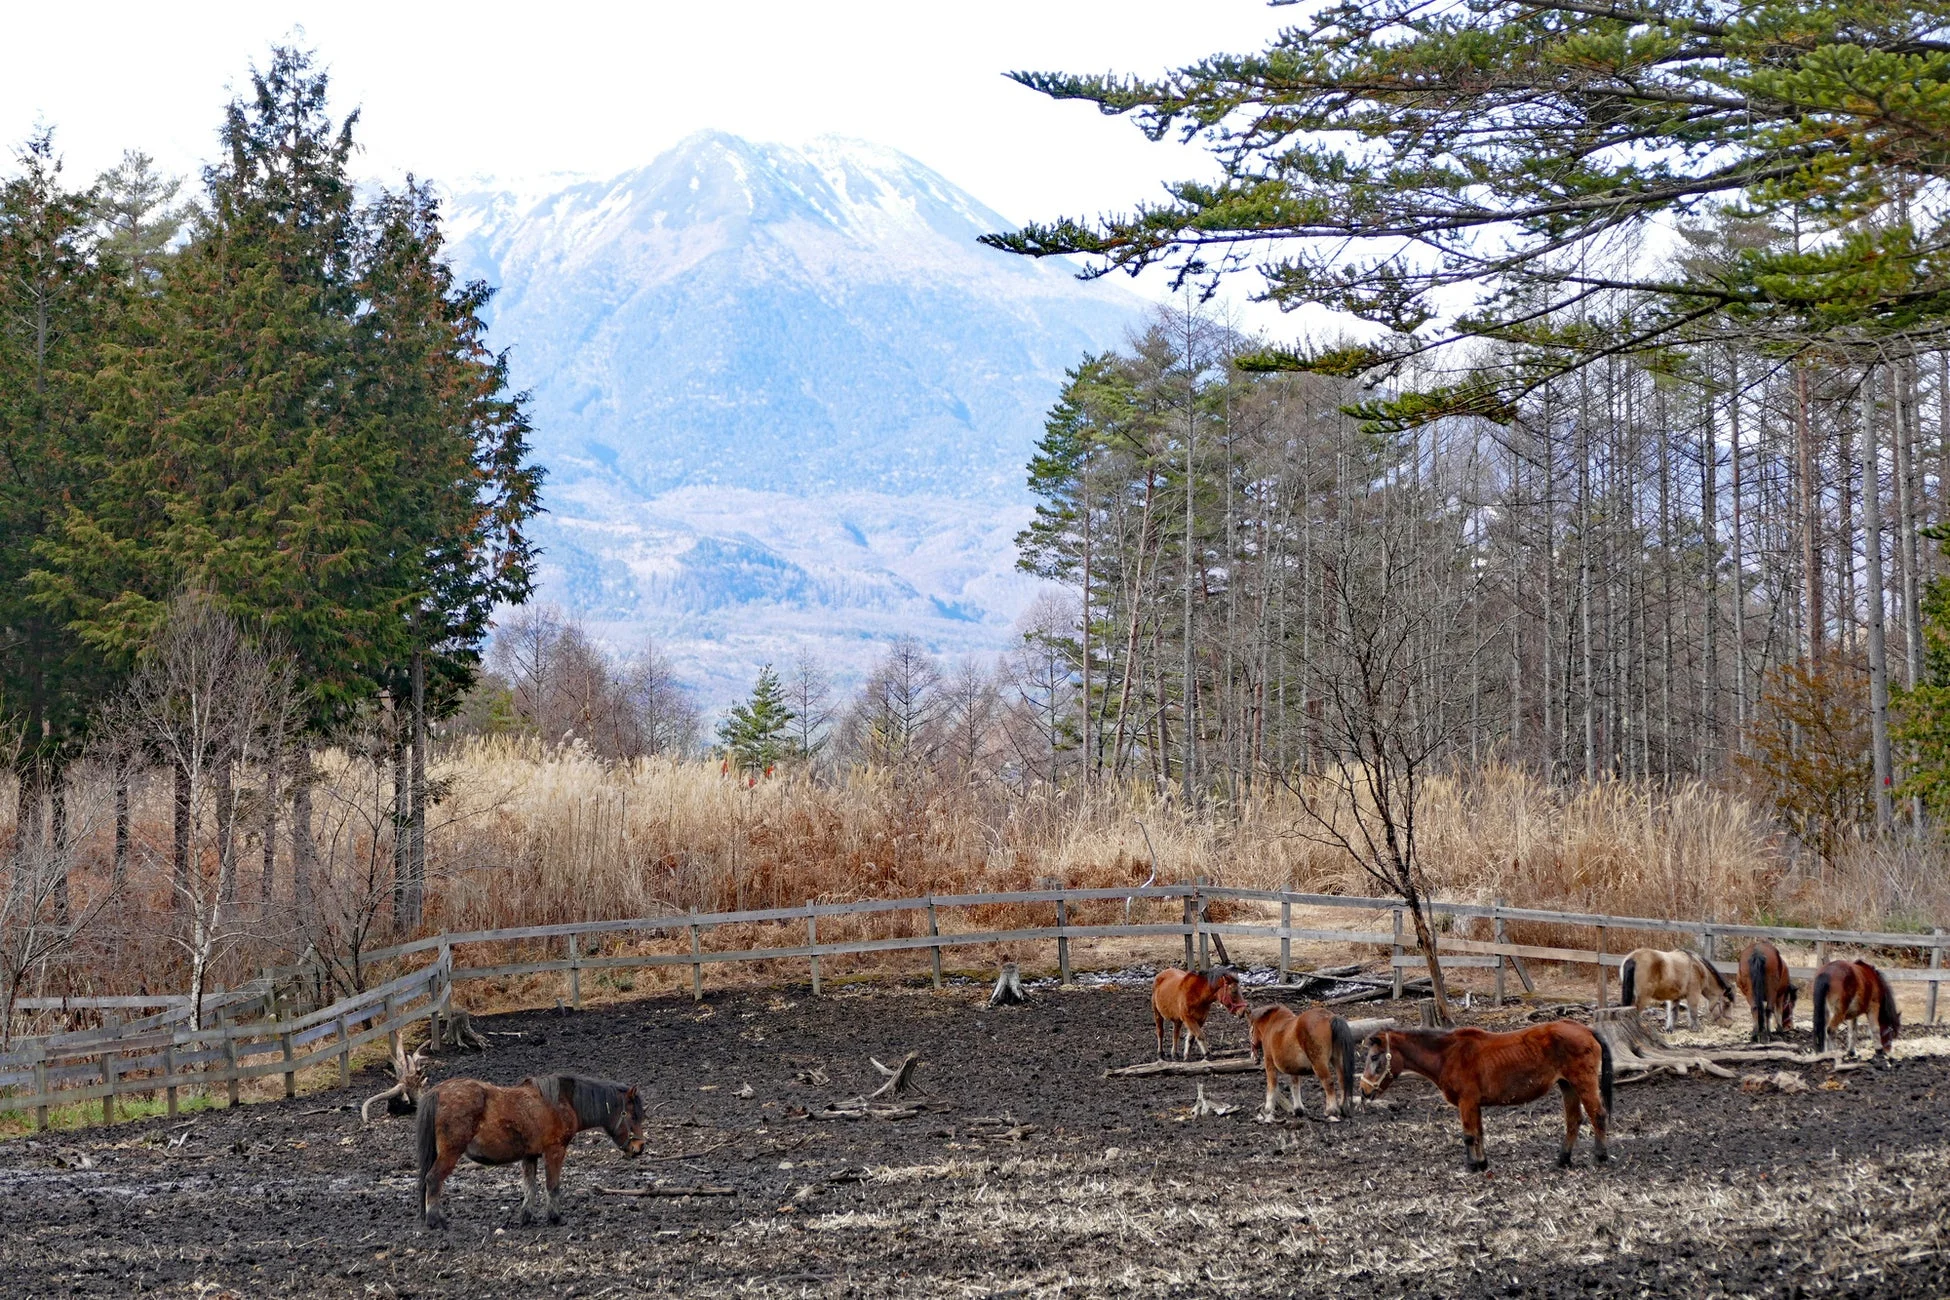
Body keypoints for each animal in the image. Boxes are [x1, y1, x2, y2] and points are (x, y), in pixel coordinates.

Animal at [417, 1073, 647, 1227]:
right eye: (633, 1115)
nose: (639, 1147)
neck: (562, 1102)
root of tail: (438, 1091)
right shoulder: (555, 1151)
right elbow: (552, 1185)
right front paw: (555, 1217)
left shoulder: (530, 1156)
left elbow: (530, 1188)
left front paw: (526, 1217)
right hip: (450, 1154)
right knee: (432, 1179)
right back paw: (436, 1220)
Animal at [1360, 1021, 1612, 1171]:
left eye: (1374, 1057)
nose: (1363, 1090)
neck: (1448, 1054)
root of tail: (1586, 1029)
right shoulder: (1474, 1104)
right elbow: (1479, 1133)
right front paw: (1482, 1162)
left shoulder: (1467, 1102)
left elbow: (1469, 1135)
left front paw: (1473, 1166)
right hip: (1567, 1085)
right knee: (1574, 1120)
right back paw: (1563, 1160)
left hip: (1582, 1082)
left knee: (1598, 1115)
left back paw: (1600, 1156)